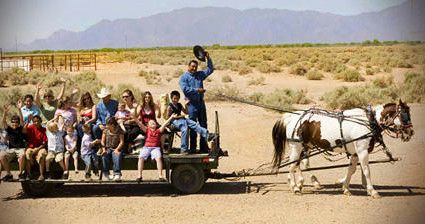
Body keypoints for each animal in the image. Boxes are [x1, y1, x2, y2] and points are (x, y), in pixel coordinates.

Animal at [272, 100, 414, 198]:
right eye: (404, 115)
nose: (410, 133)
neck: (369, 121)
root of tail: (292, 117)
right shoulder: (362, 151)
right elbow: (366, 170)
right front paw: (372, 191)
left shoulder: (356, 153)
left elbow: (351, 170)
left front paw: (345, 187)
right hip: (297, 146)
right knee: (292, 166)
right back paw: (295, 186)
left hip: (305, 146)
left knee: (298, 164)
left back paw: (301, 183)